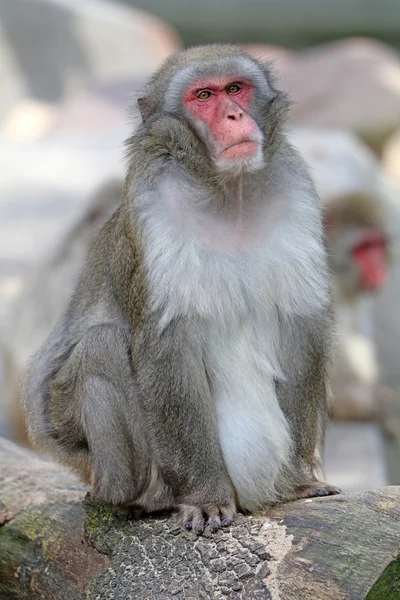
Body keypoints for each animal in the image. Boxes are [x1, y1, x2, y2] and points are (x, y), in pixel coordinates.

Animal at [23, 44, 340, 536]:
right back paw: (138, 502)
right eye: (203, 96)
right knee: (102, 345)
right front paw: (206, 497)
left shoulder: (295, 190)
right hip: (79, 442)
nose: (233, 115)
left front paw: (299, 482)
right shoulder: (155, 204)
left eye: (235, 88)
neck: (228, 193)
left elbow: (300, 327)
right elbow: (166, 344)